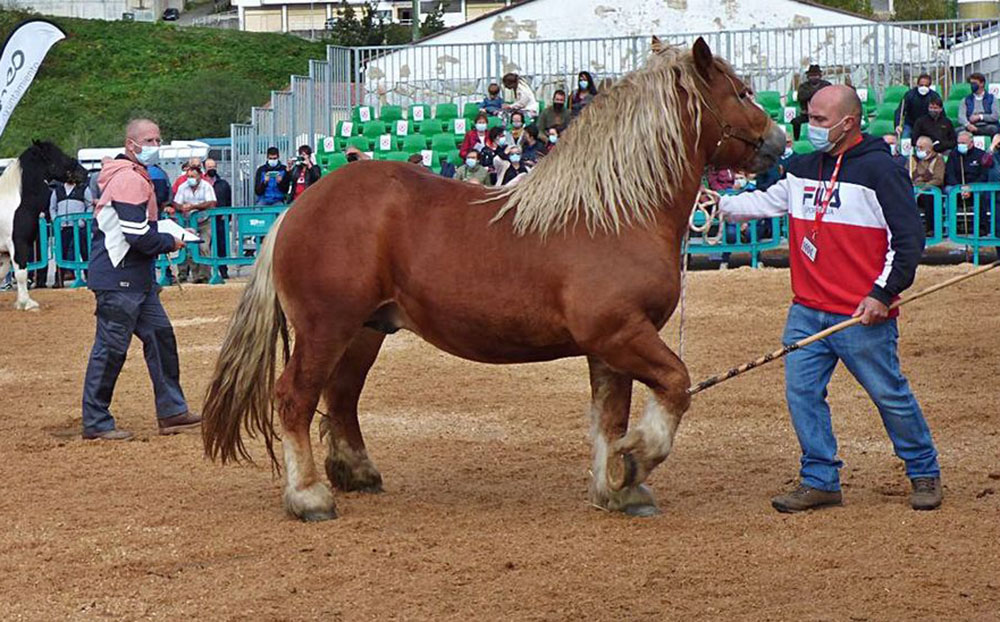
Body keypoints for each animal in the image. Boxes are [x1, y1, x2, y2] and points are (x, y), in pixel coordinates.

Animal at [0, 139, 86, 310]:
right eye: (59, 154)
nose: (84, 172)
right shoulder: (18, 244)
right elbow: (21, 273)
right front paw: (26, 304)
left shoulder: (4, 252)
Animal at [201, 37, 780, 520]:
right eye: (741, 91)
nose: (777, 141)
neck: (613, 212)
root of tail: (297, 209)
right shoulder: (620, 333)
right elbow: (676, 385)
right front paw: (636, 460)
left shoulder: (609, 348)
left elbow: (608, 419)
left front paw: (616, 486)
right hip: (327, 328)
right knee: (295, 398)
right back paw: (309, 497)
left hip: (365, 331)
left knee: (341, 398)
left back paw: (357, 473)